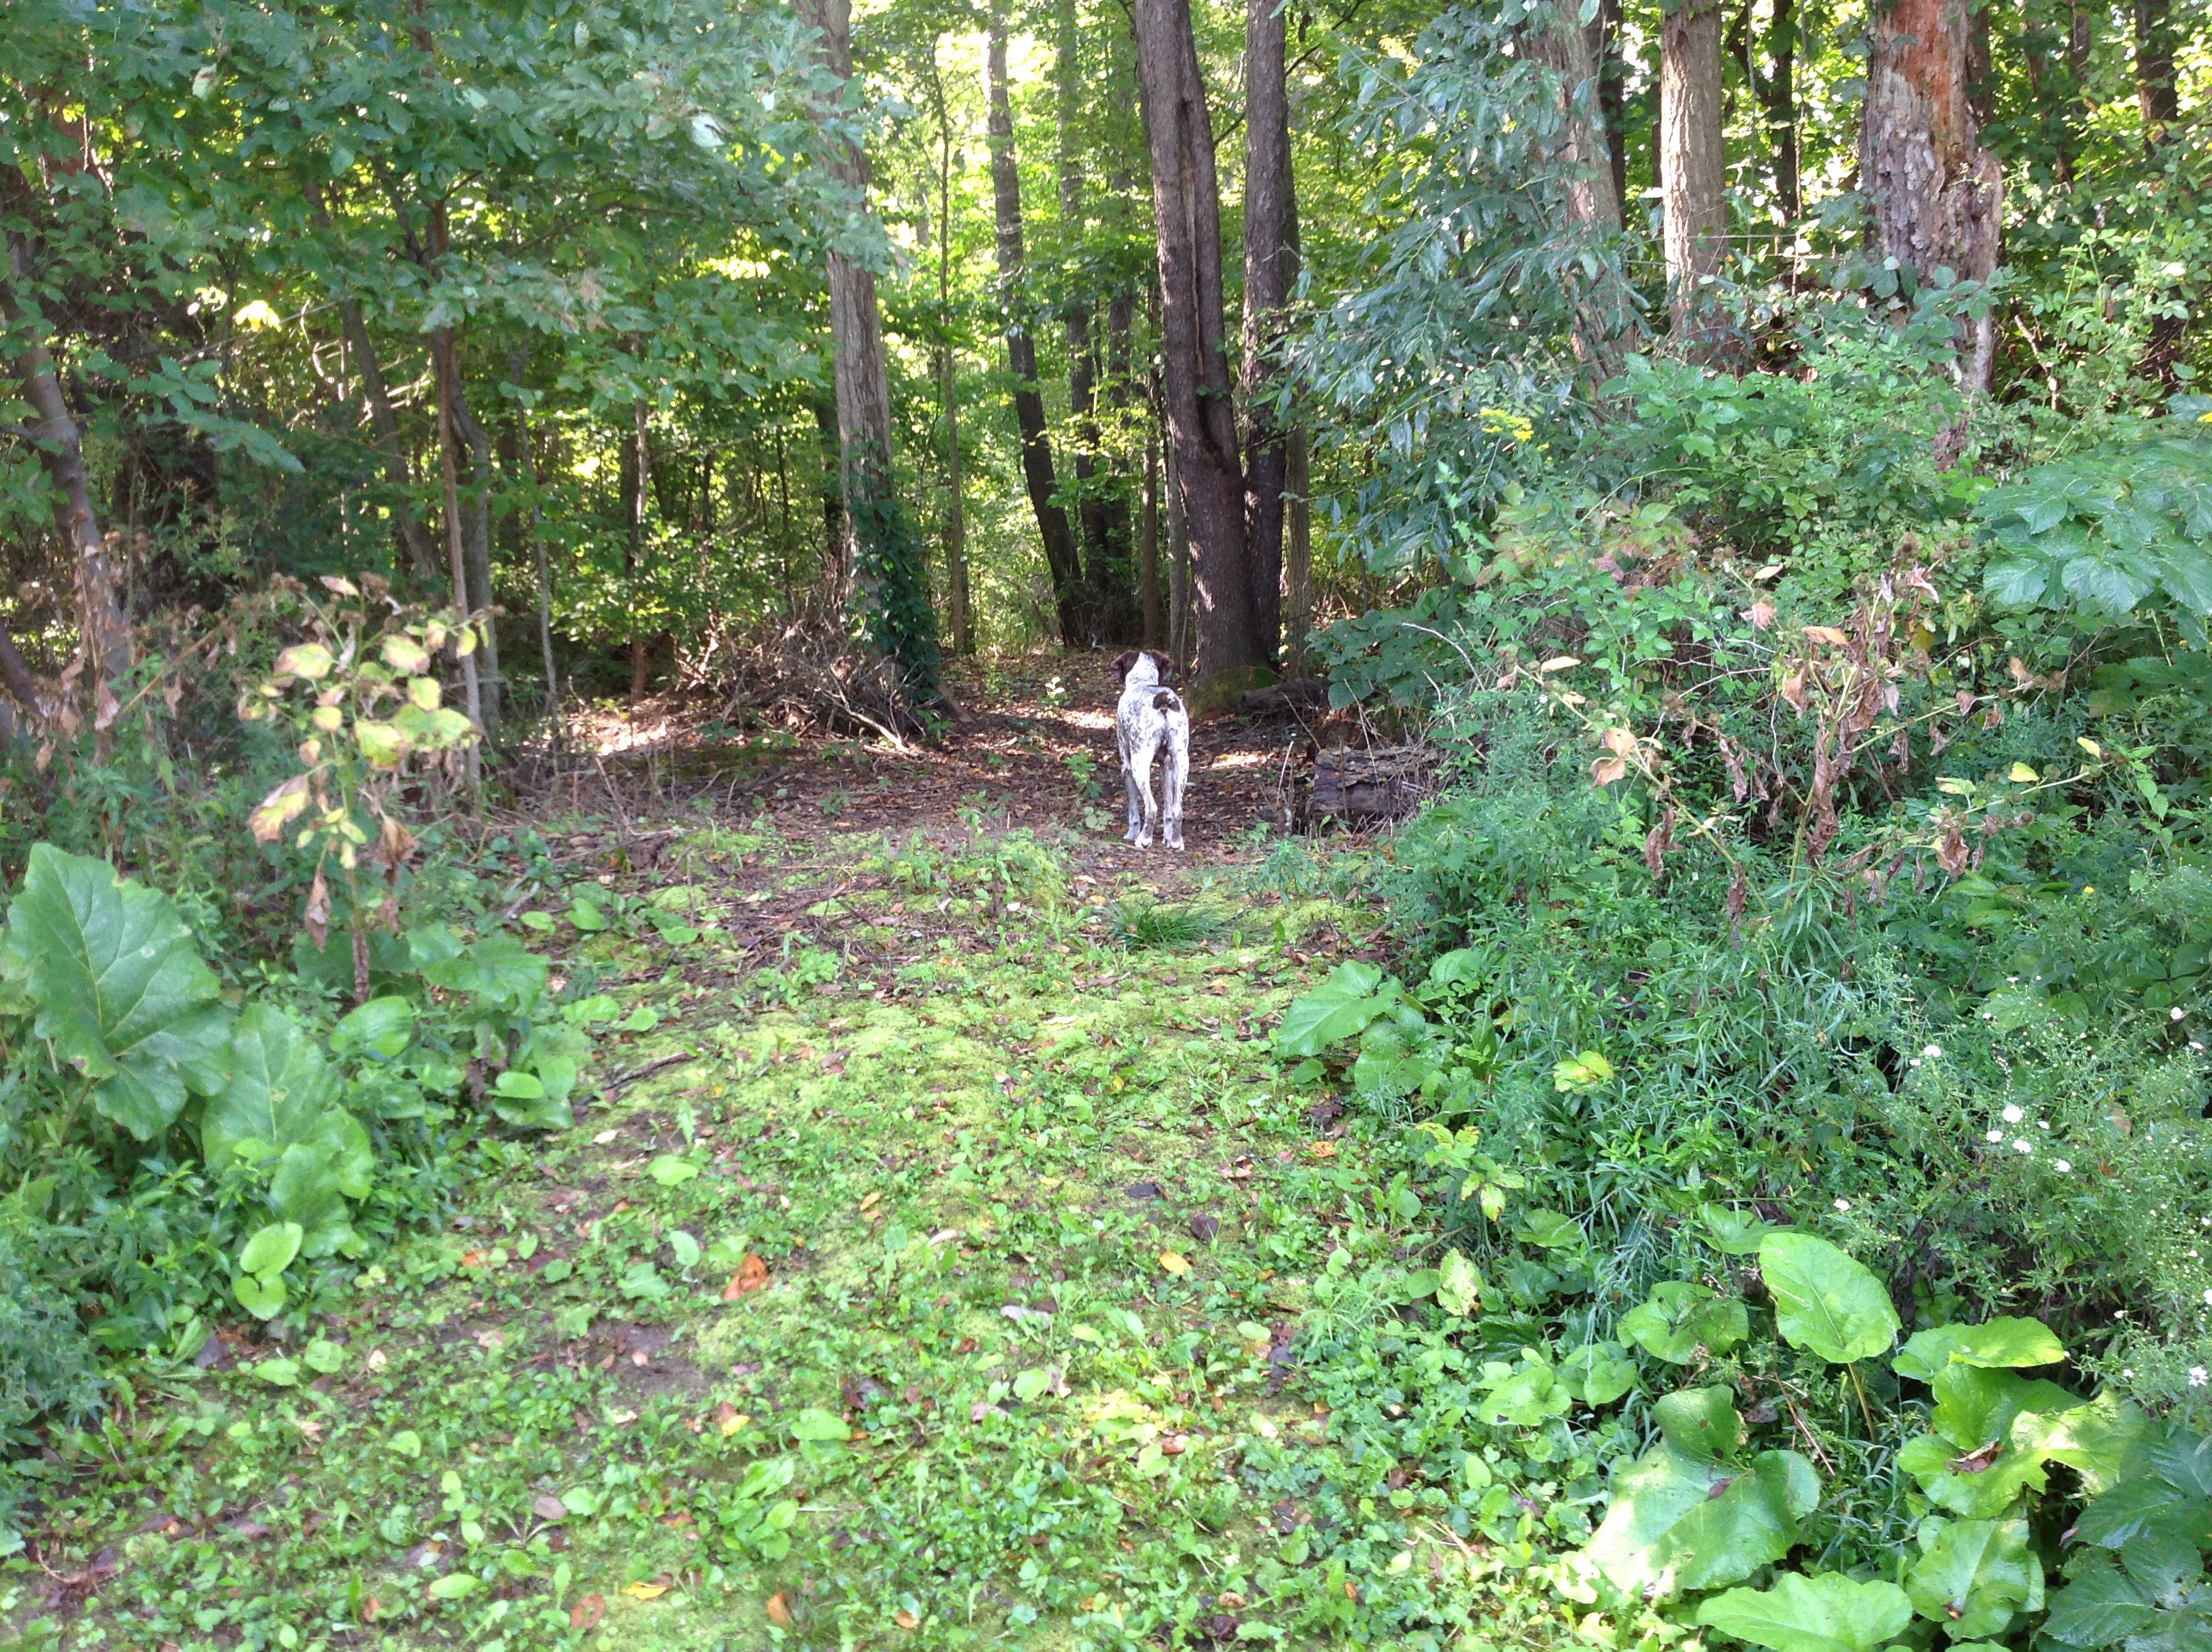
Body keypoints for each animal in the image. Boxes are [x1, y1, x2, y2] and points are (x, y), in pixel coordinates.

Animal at [1112, 649, 1190, 850]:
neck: (1142, 682)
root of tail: (1163, 700)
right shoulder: (1167, 765)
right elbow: (1168, 810)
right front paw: (1167, 838)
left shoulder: (1127, 767)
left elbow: (1133, 812)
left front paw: (1131, 834)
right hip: (1182, 763)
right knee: (1177, 809)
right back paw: (1176, 842)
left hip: (1140, 765)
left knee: (1151, 808)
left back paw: (1144, 840)